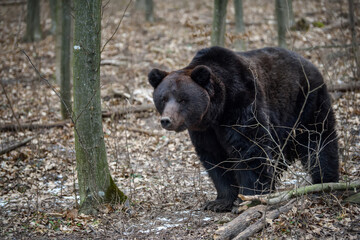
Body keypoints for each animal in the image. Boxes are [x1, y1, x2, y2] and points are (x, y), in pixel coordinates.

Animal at [148, 47, 338, 212]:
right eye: (163, 98)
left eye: (182, 99)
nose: (167, 120)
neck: (217, 111)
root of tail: (310, 62)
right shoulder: (205, 130)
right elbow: (215, 159)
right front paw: (219, 202)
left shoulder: (242, 104)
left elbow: (250, 149)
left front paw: (248, 199)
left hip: (306, 102)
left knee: (318, 140)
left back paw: (325, 182)